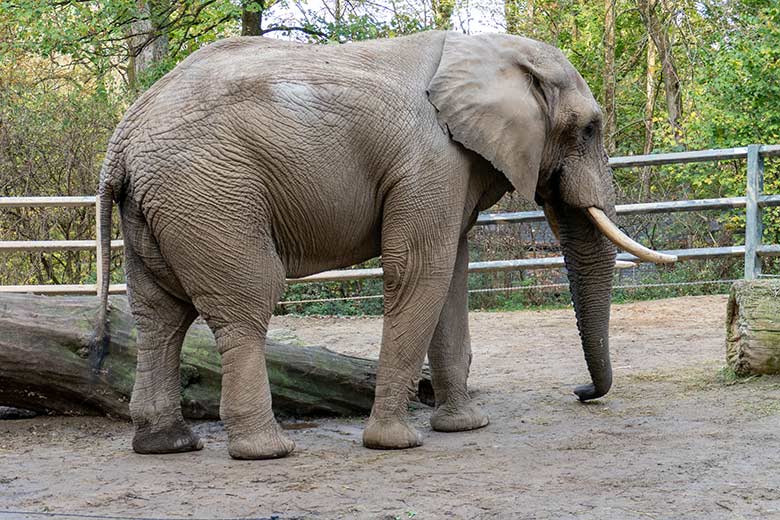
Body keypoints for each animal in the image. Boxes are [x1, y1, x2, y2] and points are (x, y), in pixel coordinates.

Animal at [94, 29, 672, 460]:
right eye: (590, 130)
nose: (579, 392)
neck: (485, 49)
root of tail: (119, 142)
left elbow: (452, 275)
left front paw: (466, 427)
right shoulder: (431, 158)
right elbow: (421, 271)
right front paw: (396, 443)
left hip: (159, 206)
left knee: (159, 316)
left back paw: (166, 445)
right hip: (211, 195)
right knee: (246, 304)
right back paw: (268, 450)